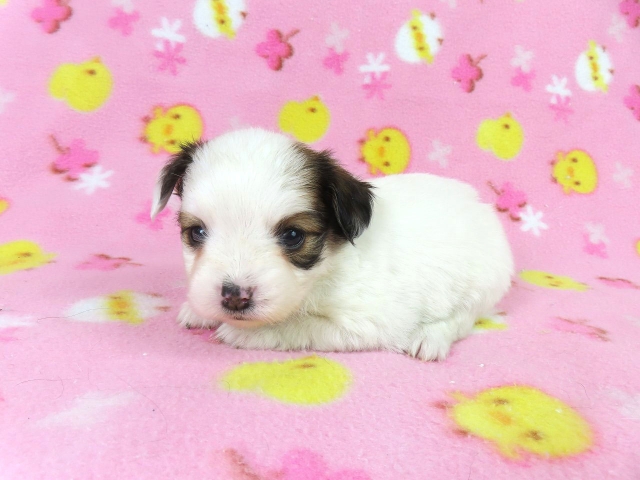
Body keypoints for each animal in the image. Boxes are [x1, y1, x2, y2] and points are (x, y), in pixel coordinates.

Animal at [150, 128, 514, 360]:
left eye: (293, 236)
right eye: (197, 233)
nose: (234, 297)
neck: (326, 270)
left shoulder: (368, 320)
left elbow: (302, 325)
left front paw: (248, 333)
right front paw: (198, 311)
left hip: (482, 282)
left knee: (461, 319)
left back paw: (430, 338)